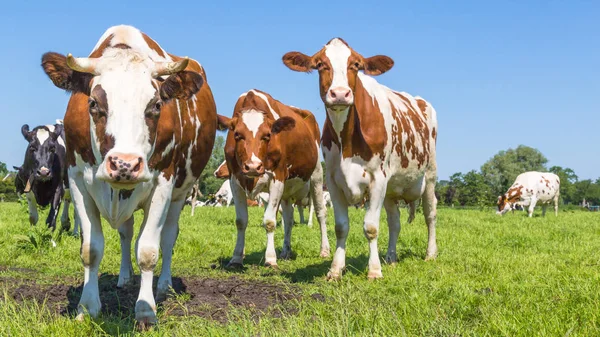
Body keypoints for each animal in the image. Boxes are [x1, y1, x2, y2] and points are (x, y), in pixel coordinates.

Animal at [40, 25, 218, 324]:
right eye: (93, 103)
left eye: (156, 105)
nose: (125, 164)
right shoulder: (77, 181)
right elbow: (91, 249)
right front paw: (87, 307)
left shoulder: (163, 182)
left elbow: (147, 250)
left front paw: (146, 309)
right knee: (125, 233)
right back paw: (124, 277)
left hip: (181, 193)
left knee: (168, 236)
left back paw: (164, 285)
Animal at [217, 88, 328, 266]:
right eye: (237, 135)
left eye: (267, 135)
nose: (253, 166)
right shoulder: (235, 181)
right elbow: (241, 221)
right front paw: (236, 258)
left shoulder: (277, 179)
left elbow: (269, 221)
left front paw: (270, 259)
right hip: (288, 189)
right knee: (288, 218)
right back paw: (285, 251)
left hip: (316, 176)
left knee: (320, 212)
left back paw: (324, 250)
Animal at [284, 37, 438, 278]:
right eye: (320, 64)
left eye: (355, 64)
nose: (339, 94)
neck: (348, 140)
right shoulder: (333, 181)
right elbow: (341, 227)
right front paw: (336, 269)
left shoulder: (378, 179)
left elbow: (371, 227)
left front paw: (373, 271)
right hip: (392, 189)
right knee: (394, 221)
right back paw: (391, 257)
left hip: (429, 174)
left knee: (430, 214)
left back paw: (430, 254)